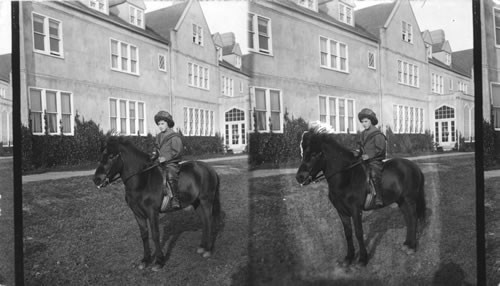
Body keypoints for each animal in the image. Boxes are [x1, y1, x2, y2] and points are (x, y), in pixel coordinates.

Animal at [93, 136, 221, 270]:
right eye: (102, 156)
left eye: (111, 156)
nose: (97, 179)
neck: (142, 181)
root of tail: (210, 169)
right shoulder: (138, 214)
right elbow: (144, 235)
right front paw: (145, 260)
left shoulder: (152, 212)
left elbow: (155, 235)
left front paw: (159, 261)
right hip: (197, 203)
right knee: (204, 221)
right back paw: (202, 247)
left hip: (206, 200)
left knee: (209, 221)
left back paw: (208, 250)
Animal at [296, 122, 426, 268]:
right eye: (303, 153)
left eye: (314, 154)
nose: (299, 177)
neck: (346, 177)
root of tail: (414, 167)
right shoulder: (341, 211)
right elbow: (348, 233)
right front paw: (349, 258)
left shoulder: (355, 210)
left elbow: (358, 233)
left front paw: (362, 259)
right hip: (401, 201)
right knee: (408, 219)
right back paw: (407, 244)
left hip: (409, 199)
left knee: (413, 218)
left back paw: (412, 247)